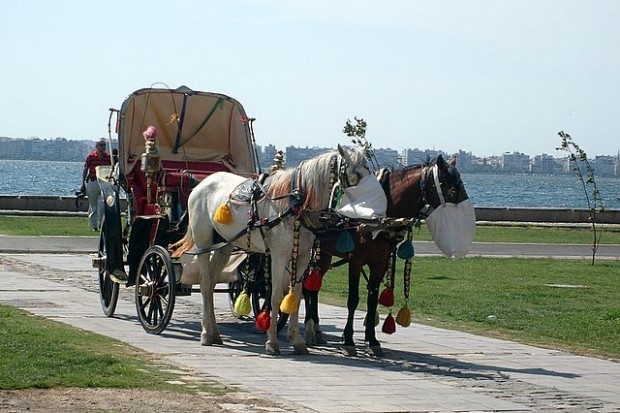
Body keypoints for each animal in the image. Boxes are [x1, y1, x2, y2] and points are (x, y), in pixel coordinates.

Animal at [172, 145, 386, 354]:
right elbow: (275, 296)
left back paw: (214, 332)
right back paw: (206, 333)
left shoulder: (302, 256)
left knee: (211, 282)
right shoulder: (278, 255)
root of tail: (202, 183)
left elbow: (297, 295)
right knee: (206, 282)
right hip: (204, 242)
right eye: (356, 175)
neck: (295, 204)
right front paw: (272, 342)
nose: (379, 215)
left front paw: (297, 340)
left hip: (225, 244)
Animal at [302, 154, 472, 354]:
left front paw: (372, 340)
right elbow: (353, 300)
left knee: (313, 287)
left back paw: (316, 328)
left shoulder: (380, 262)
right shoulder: (356, 260)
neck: (378, 216)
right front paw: (349, 340)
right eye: (453, 190)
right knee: (306, 287)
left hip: (325, 253)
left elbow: (372, 300)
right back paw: (309, 329)